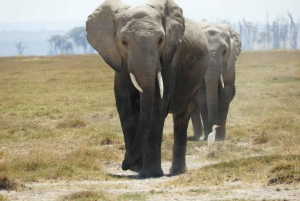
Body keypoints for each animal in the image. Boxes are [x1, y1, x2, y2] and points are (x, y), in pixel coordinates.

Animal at [85, 0, 210, 177]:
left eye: (160, 40)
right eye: (124, 42)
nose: (124, 165)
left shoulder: (168, 59)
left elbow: (157, 109)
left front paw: (150, 173)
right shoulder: (121, 63)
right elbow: (127, 109)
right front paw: (136, 168)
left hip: (196, 81)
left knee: (181, 118)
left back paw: (177, 171)